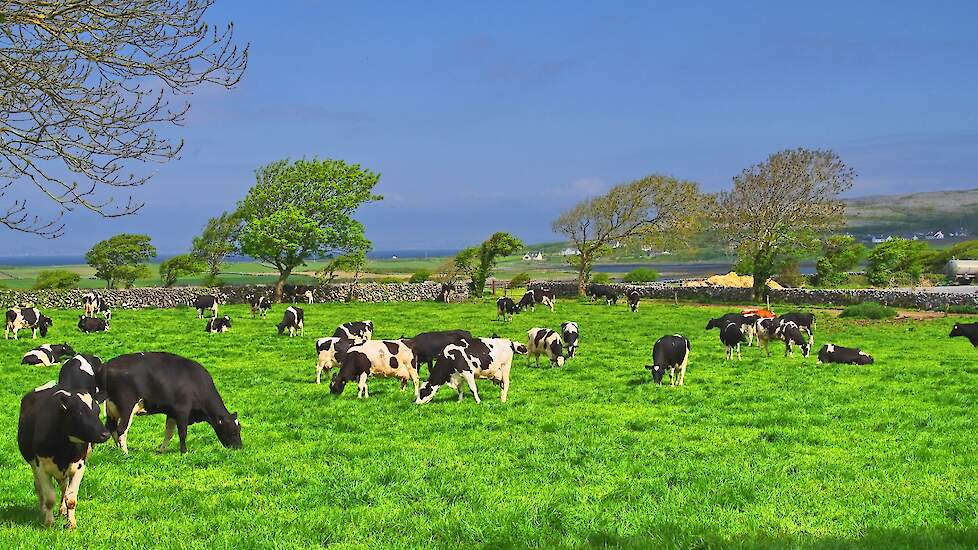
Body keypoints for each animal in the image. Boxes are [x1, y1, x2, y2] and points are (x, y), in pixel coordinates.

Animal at [18, 384, 110, 529]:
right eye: (79, 413)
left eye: (97, 411)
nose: (105, 434)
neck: (63, 452)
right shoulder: (41, 467)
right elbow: (49, 498)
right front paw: (49, 523)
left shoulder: (79, 466)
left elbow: (71, 498)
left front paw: (71, 524)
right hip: (33, 466)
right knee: (39, 488)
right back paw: (43, 511)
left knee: (63, 487)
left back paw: (62, 510)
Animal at [104, 352, 241, 454]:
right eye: (234, 430)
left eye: (239, 428)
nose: (240, 447)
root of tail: (107, 365)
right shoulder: (182, 411)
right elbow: (182, 433)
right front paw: (184, 452)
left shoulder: (171, 412)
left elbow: (169, 433)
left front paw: (162, 450)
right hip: (127, 407)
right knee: (121, 429)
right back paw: (125, 453)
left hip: (111, 408)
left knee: (111, 427)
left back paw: (117, 449)